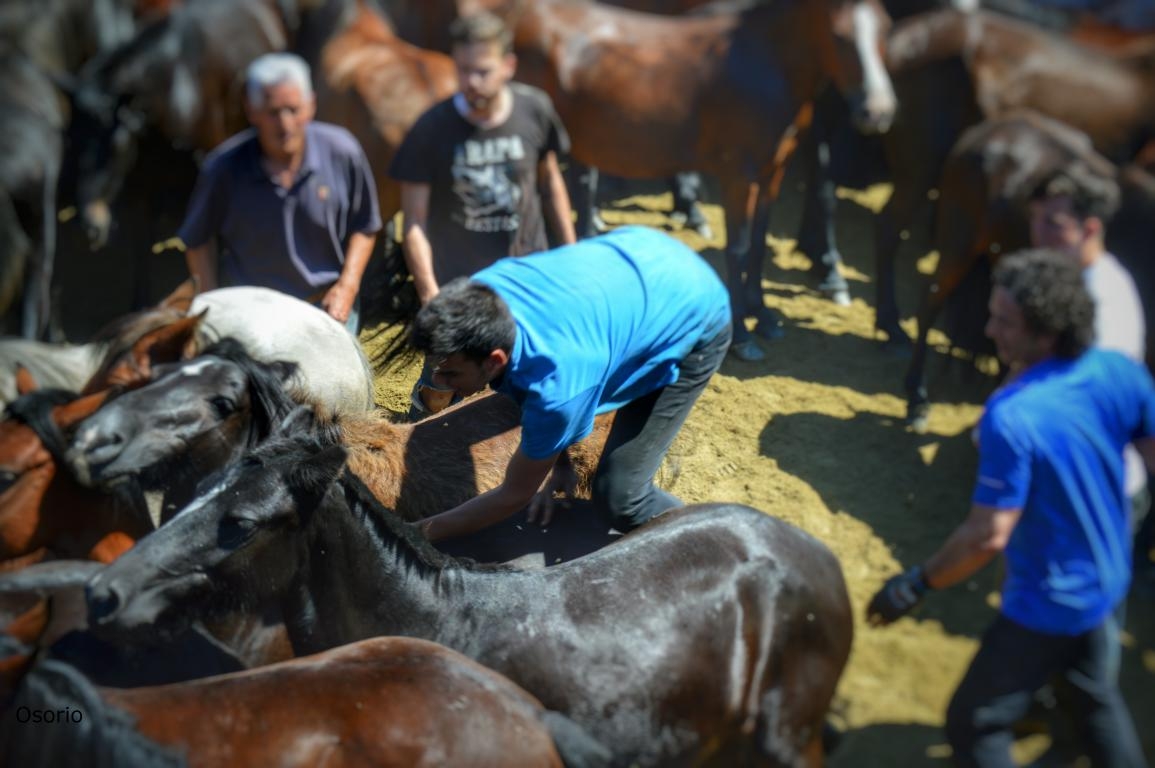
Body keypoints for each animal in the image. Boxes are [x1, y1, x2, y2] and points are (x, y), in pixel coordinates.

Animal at [501, 0, 896, 362]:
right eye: (840, 36)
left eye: (883, 30)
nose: (877, 112)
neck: (767, 63)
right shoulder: (738, 175)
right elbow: (737, 248)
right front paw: (742, 335)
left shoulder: (773, 172)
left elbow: (758, 242)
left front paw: (763, 315)